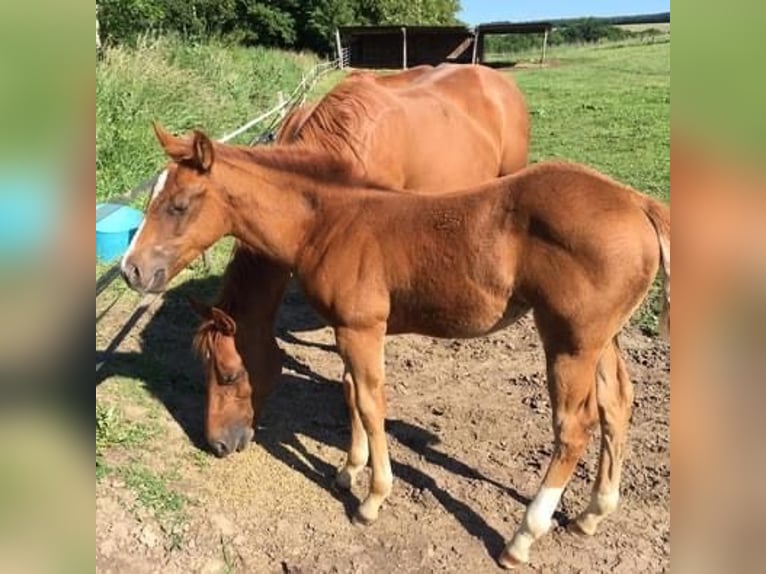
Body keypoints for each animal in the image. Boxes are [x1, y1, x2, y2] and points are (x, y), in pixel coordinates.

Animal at [120, 128, 672, 568]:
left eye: (178, 206)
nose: (131, 270)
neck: (329, 224)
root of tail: (638, 203)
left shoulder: (362, 329)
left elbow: (369, 402)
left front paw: (372, 500)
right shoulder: (347, 330)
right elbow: (349, 393)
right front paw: (347, 471)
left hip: (568, 342)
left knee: (573, 428)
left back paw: (521, 539)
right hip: (601, 339)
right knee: (617, 405)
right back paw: (592, 514)